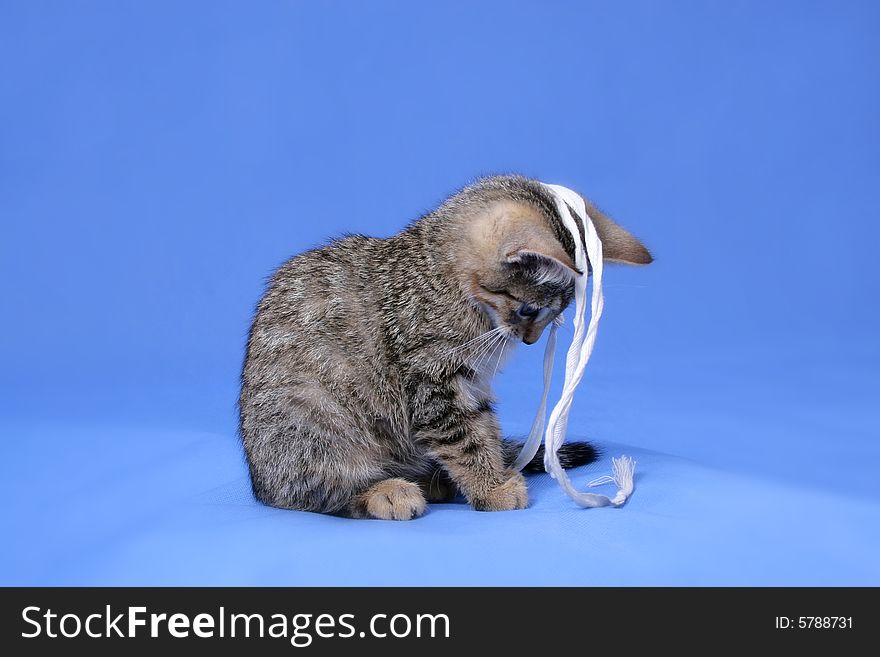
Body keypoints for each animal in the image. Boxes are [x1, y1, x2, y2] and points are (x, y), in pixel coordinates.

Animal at [237, 174, 648, 516]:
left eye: (559, 316)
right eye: (530, 309)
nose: (529, 340)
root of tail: (259, 481)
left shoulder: (472, 383)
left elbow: (484, 429)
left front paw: (492, 476)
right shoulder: (432, 379)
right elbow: (465, 438)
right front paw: (492, 488)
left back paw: (433, 481)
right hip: (314, 420)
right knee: (316, 493)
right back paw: (386, 492)